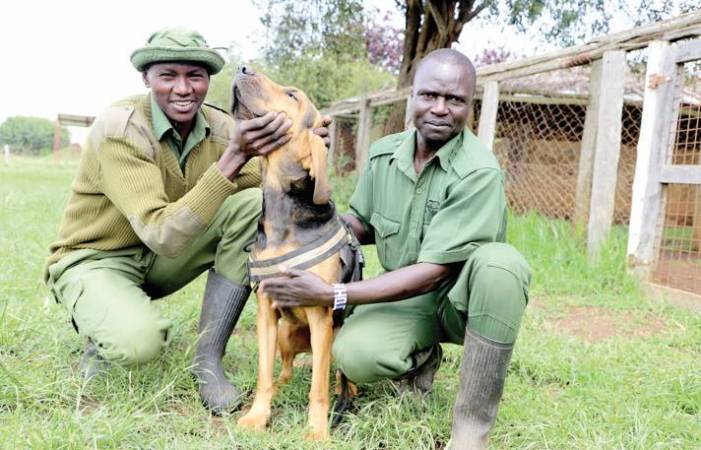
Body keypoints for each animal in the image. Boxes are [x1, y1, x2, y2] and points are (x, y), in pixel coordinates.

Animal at [232, 67, 360, 440]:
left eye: (292, 95)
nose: (243, 68)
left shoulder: (320, 316)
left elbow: (317, 390)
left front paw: (317, 432)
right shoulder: (264, 310)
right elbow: (263, 374)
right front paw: (257, 416)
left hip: (335, 336)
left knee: (334, 374)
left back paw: (346, 392)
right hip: (286, 336)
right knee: (286, 369)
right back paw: (283, 385)